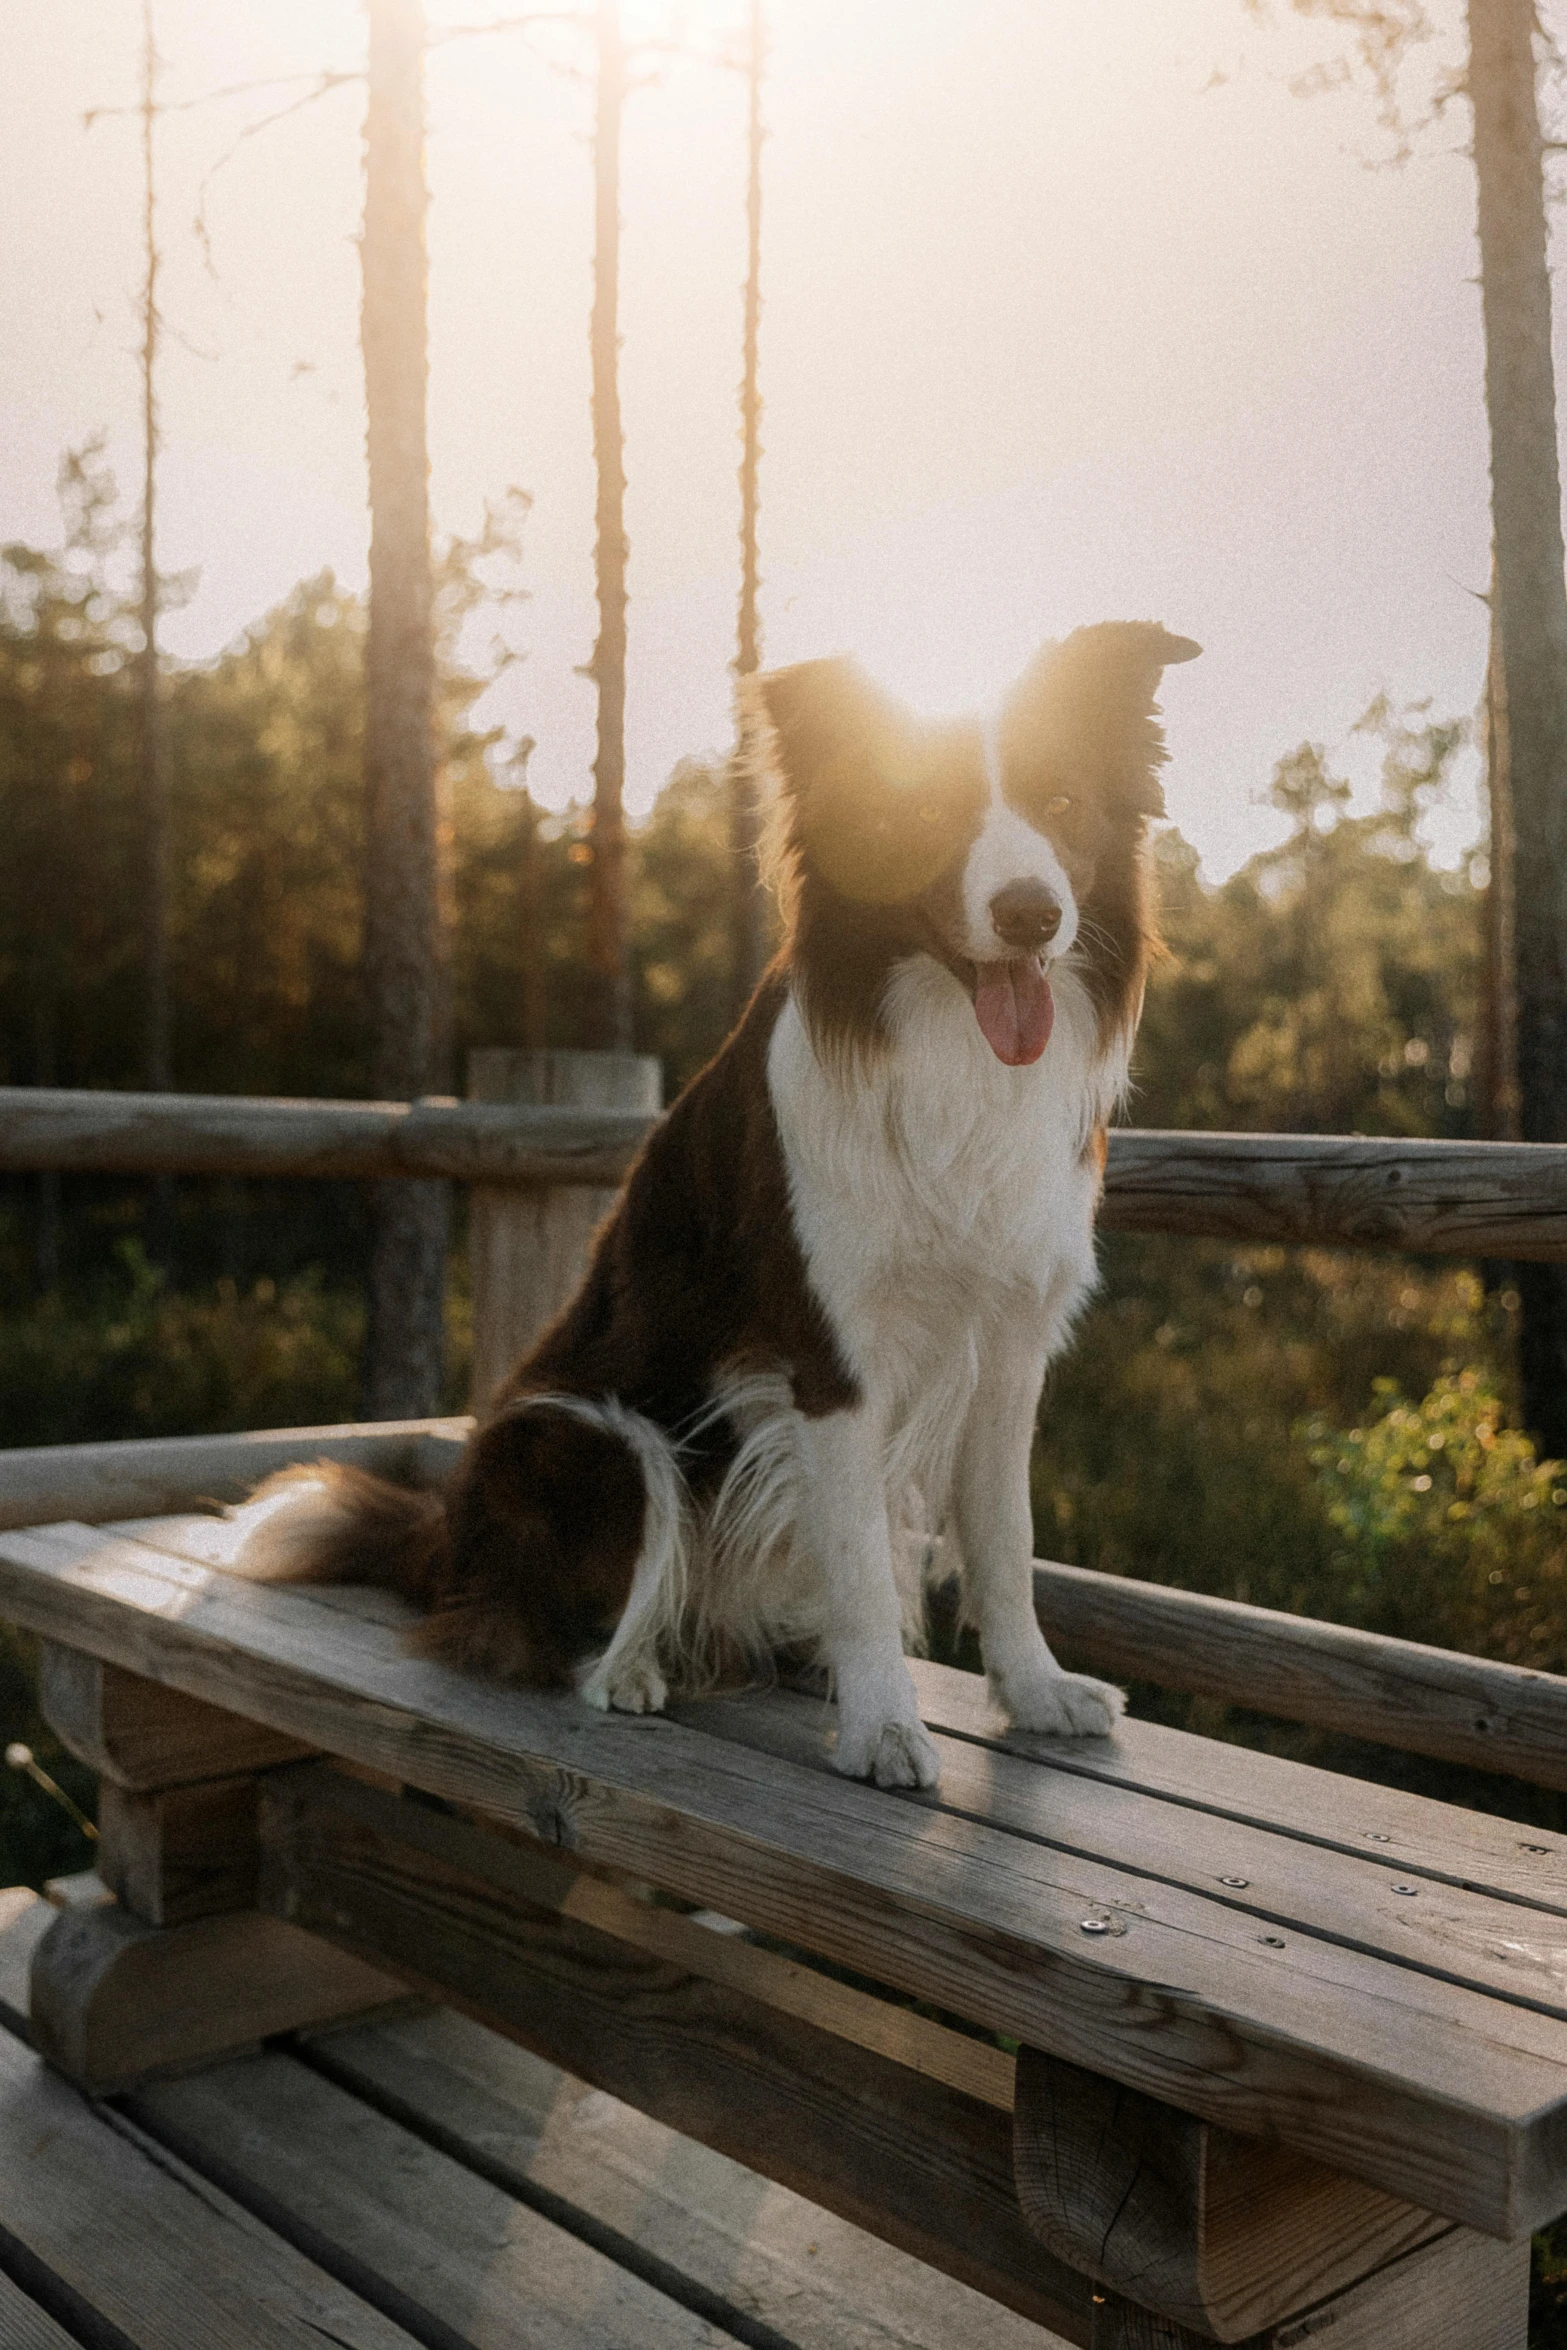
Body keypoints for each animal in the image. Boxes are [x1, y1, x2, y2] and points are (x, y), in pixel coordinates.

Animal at [239, 615, 1202, 1785]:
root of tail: (447, 1539)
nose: (1031, 913)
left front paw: (1032, 1689)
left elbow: (1004, 1537)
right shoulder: (828, 1354)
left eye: (1063, 802)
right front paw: (882, 1723)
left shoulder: (1010, 1341)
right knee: (535, 1620)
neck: (944, 1049)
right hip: (591, 1435)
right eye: (929, 812)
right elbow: (859, 1560)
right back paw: (630, 1670)